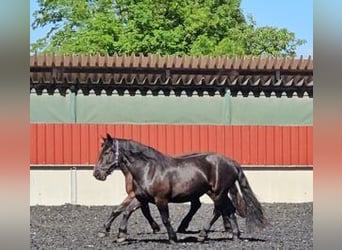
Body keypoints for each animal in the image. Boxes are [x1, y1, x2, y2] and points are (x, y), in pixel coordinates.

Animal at [94, 135, 268, 242]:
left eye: (107, 152)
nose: (97, 174)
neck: (148, 169)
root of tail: (232, 162)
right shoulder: (141, 197)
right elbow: (125, 211)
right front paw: (120, 234)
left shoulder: (160, 199)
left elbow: (165, 218)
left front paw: (172, 238)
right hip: (218, 193)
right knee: (229, 209)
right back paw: (234, 234)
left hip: (217, 192)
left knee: (218, 210)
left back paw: (203, 234)